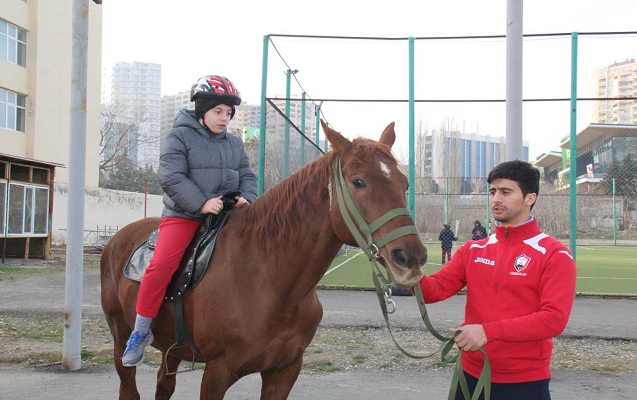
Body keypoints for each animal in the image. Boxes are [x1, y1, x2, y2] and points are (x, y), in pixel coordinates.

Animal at [99, 120, 428, 398]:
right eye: (358, 182)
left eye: (404, 183)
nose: (411, 257)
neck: (266, 278)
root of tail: (117, 239)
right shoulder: (217, 372)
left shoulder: (284, 372)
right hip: (120, 336)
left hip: (173, 350)